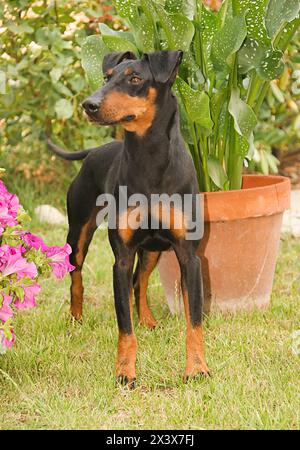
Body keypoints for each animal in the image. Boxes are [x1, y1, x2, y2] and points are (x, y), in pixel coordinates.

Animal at [48, 50, 210, 386]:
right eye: (107, 77)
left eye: (135, 78)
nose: (89, 105)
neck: (150, 160)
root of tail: (93, 151)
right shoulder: (121, 258)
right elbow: (124, 325)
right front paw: (125, 371)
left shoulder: (189, 256)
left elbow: (194, 319)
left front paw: (197, 368)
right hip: (78, 233)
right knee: (77, 278)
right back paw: (76, 319)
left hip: (151, 250)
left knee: (140, 280)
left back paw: (147, 320)